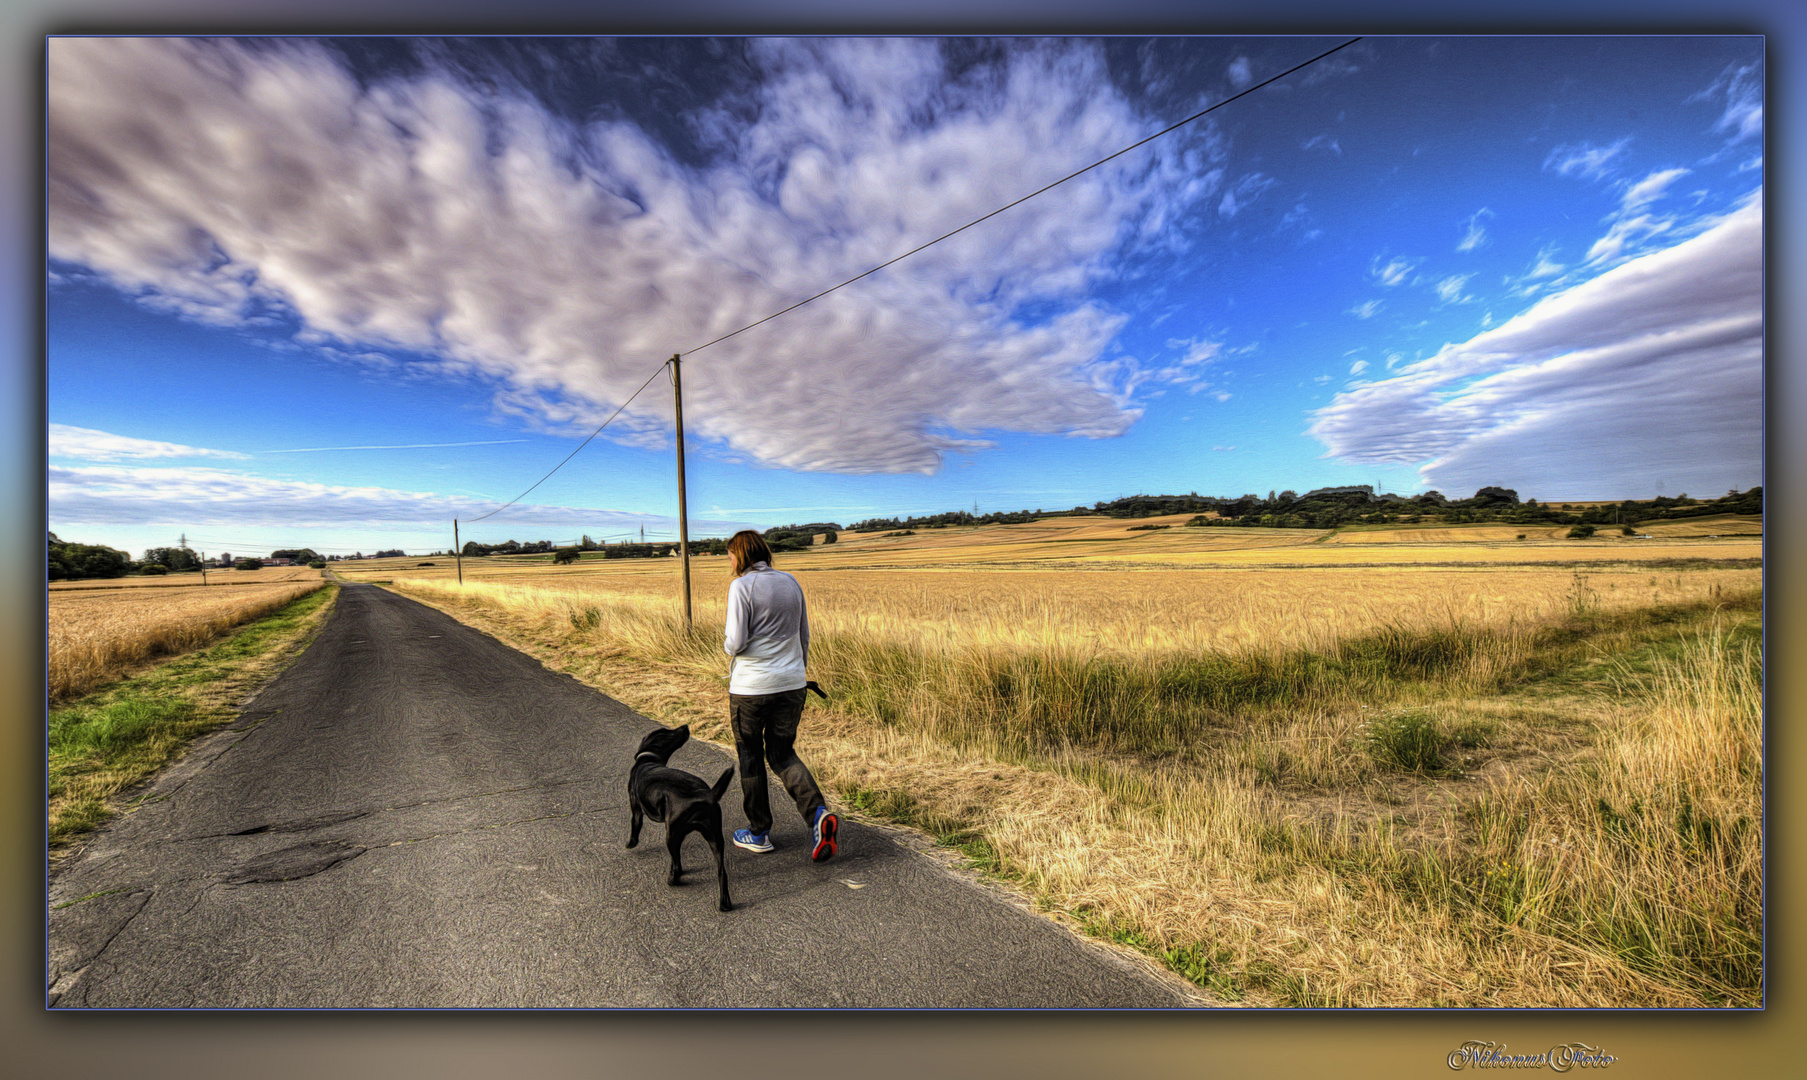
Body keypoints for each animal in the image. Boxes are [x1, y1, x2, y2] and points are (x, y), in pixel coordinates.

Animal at [625, 729, 730, 913]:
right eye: (671, 732)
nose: (686, 727)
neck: (648, 760)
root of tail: (705, 794)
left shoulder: (636, 809)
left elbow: (635, 828)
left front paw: (630, 844)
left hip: (671, 835)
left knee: (677, 866)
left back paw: (672, 880)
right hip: (715, 838)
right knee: (721, 873)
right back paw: (724, 904)